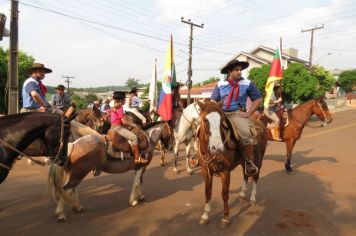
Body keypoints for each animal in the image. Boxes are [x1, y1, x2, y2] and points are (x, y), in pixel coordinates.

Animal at [195, 100, 268, 228]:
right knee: (246, 174)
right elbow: (207, 193)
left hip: (258, 160)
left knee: (255, 177)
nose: (217, 147)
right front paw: (205, 216)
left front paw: (225, 218)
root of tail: (259, 123)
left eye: (221, 121)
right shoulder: (206, 171)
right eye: (205, 120)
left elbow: (224, 194)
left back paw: (252, 198)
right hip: (245, 162)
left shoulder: (225, 172)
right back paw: (242, 195)